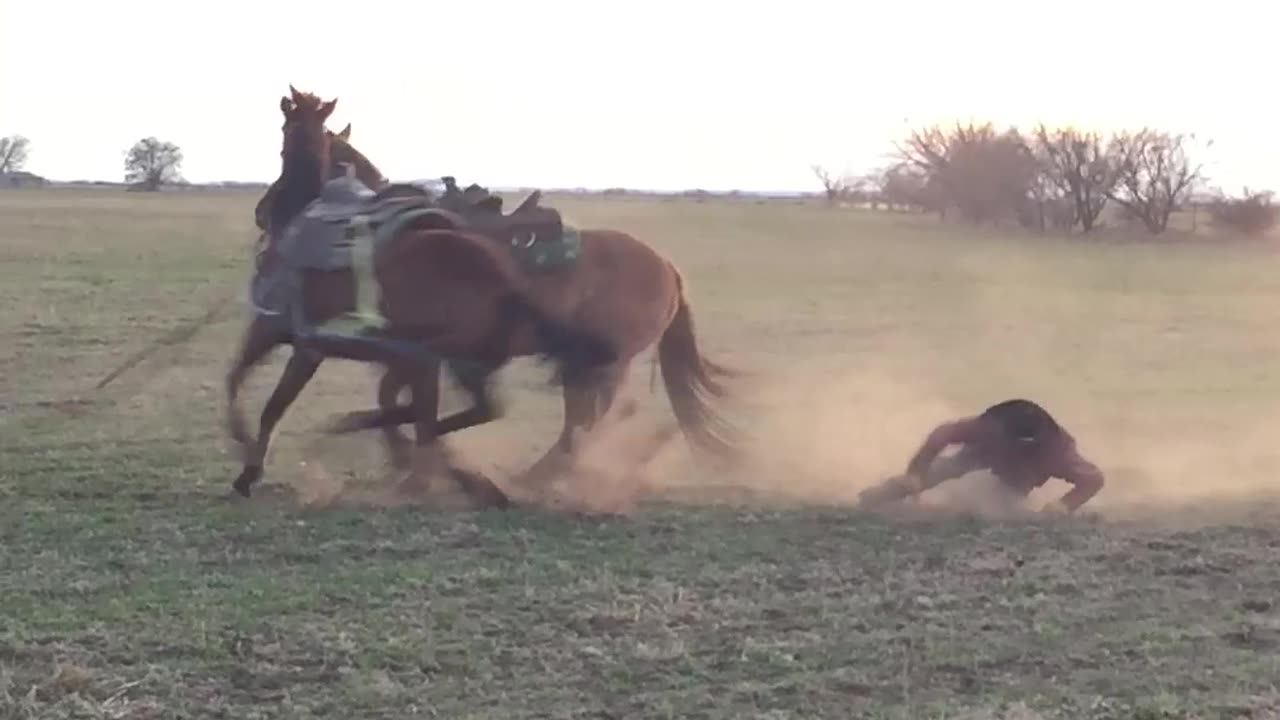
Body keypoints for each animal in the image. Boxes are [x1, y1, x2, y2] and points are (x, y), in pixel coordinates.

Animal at [225, 85, 614, 499]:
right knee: (478, 410)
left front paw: (247, 465)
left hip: (440, 357)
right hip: (460, 360)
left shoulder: (289, 337)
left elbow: (258, 395)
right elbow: (247, 386)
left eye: (283, 132)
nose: (262, 210)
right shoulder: (318, 347)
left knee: (452, 415)